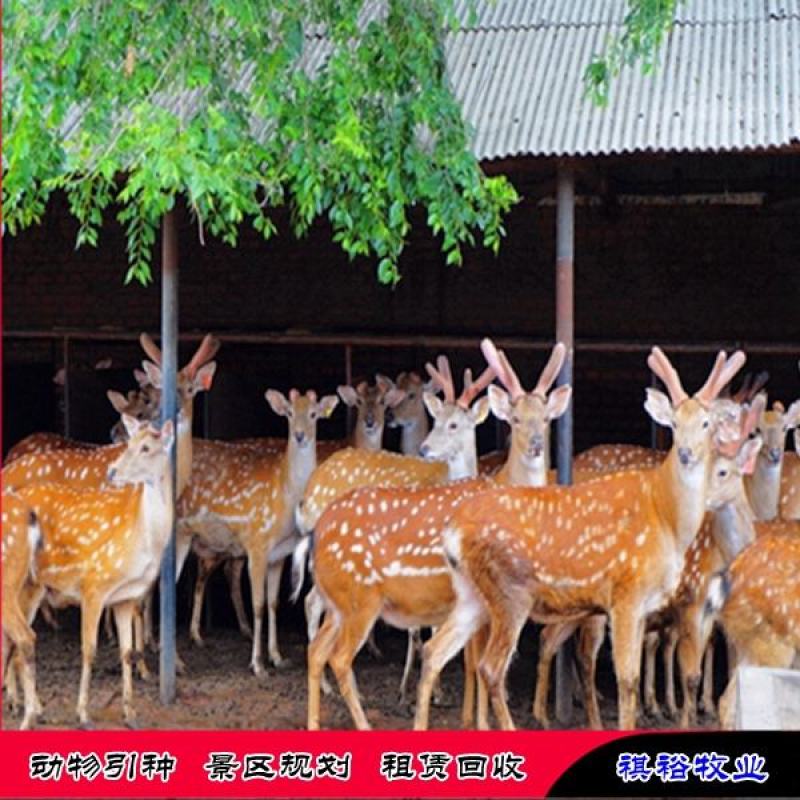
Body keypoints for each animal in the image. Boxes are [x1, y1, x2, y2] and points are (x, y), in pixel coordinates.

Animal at [6, 417, 175, 727]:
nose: (112, 470)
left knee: (17, 638)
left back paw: (29, 706)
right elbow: (89, 649)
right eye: (128, 444)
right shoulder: (94, 584)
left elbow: (126, 652)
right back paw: (20, 704)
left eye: (146, 447)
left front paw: (130, 713)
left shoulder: (125, 597)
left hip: (33, 587)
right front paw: (83, 713)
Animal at [302, 340, 573, 729]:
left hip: (339, 602)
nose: (536, 444)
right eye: (515, 419)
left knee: (316, 647)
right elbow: (475, 661)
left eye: (547, 418)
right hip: (359, 600)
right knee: (335, 651)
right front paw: (475, 719)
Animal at [413, 346, 746, 731]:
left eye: (705, 424)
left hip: (473, 594)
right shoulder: (626, 593)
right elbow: (626, 680)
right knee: (490, 667)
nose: (687, 453)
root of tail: (453, 529)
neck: (666, 519)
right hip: (510, 592)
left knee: (435, 650)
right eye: (674, 424)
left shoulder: (643, 605)